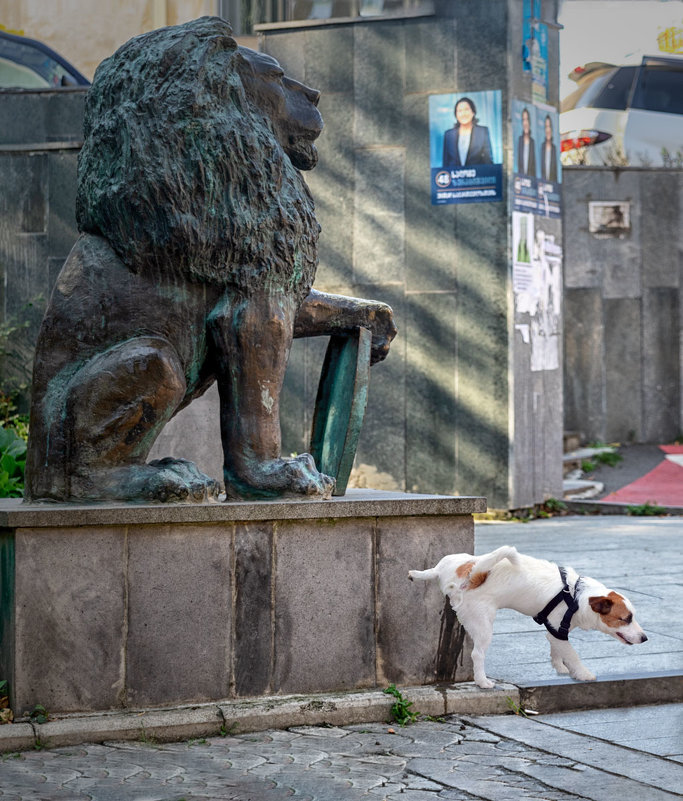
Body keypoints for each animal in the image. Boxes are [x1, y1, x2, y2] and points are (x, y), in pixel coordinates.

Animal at [408, 548, 648, 692]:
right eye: (625, 619)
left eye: (632, 617)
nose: (645, 638)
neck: (576, 595)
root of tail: (471, 573)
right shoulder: (560, 629)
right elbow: (572, 654)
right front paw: (583, 673)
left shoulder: (555, 631)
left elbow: (557, 649)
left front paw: (559, 666)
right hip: (483, 623)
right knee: (477, 654)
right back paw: (482, 681)